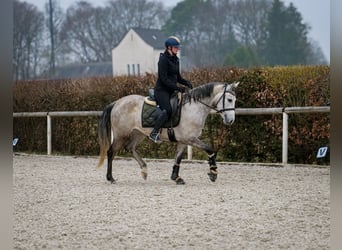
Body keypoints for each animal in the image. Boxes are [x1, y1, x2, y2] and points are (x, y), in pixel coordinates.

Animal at [96, 81, 239, 185]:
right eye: (229, 100)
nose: (231, 121)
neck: (194, 108)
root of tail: (117, 103)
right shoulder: (191, 139)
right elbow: (210, 149)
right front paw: (213, 172)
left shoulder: (183, 140)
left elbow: (178, 158)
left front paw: (176, 177)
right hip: (121, 135)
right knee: (111, 152)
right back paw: (110, 178)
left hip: (138, 133)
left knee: (130, 148)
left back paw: (144, 170)